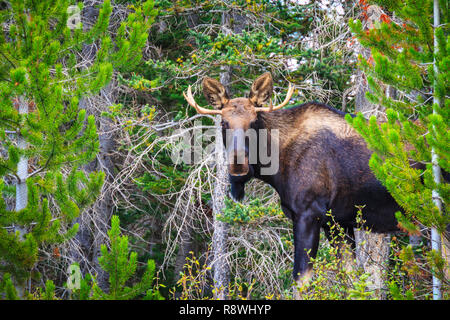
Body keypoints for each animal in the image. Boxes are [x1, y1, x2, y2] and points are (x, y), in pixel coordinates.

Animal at [183, 74, 408, 292]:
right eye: (223, 123)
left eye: (254, 122)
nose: (238, 164)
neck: (277, 167)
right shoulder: (337, 222)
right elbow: (351, 280)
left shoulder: (309, 213)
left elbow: (301, 281)